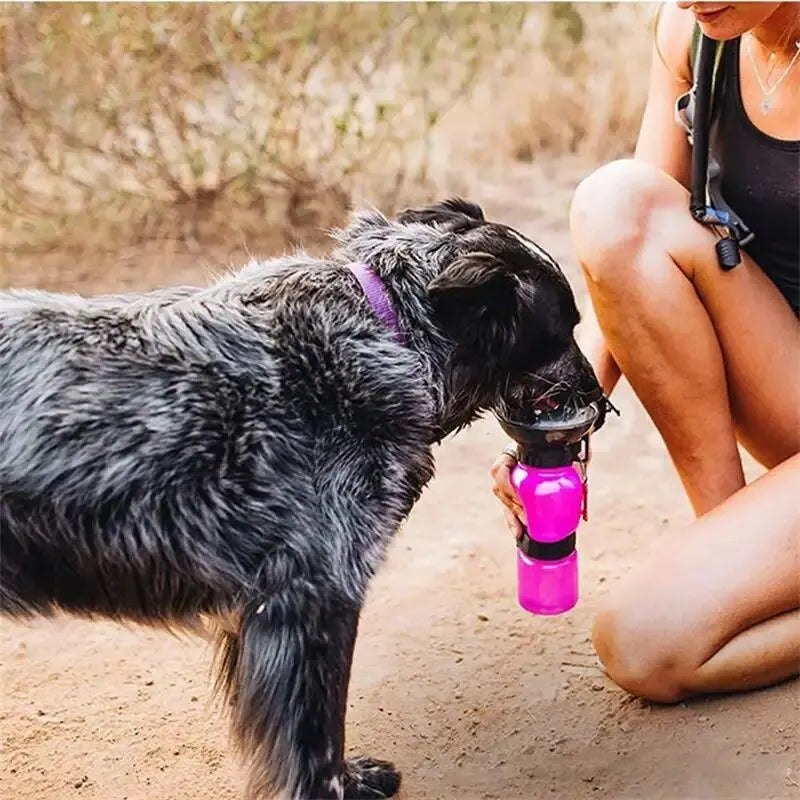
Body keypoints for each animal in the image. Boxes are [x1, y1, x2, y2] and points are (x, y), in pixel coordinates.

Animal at [0, 197, 600, 796]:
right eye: (562, 329)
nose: (599, 393)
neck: (386, 330)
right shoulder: (312, 599)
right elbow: (316, 741)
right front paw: (344, 784)